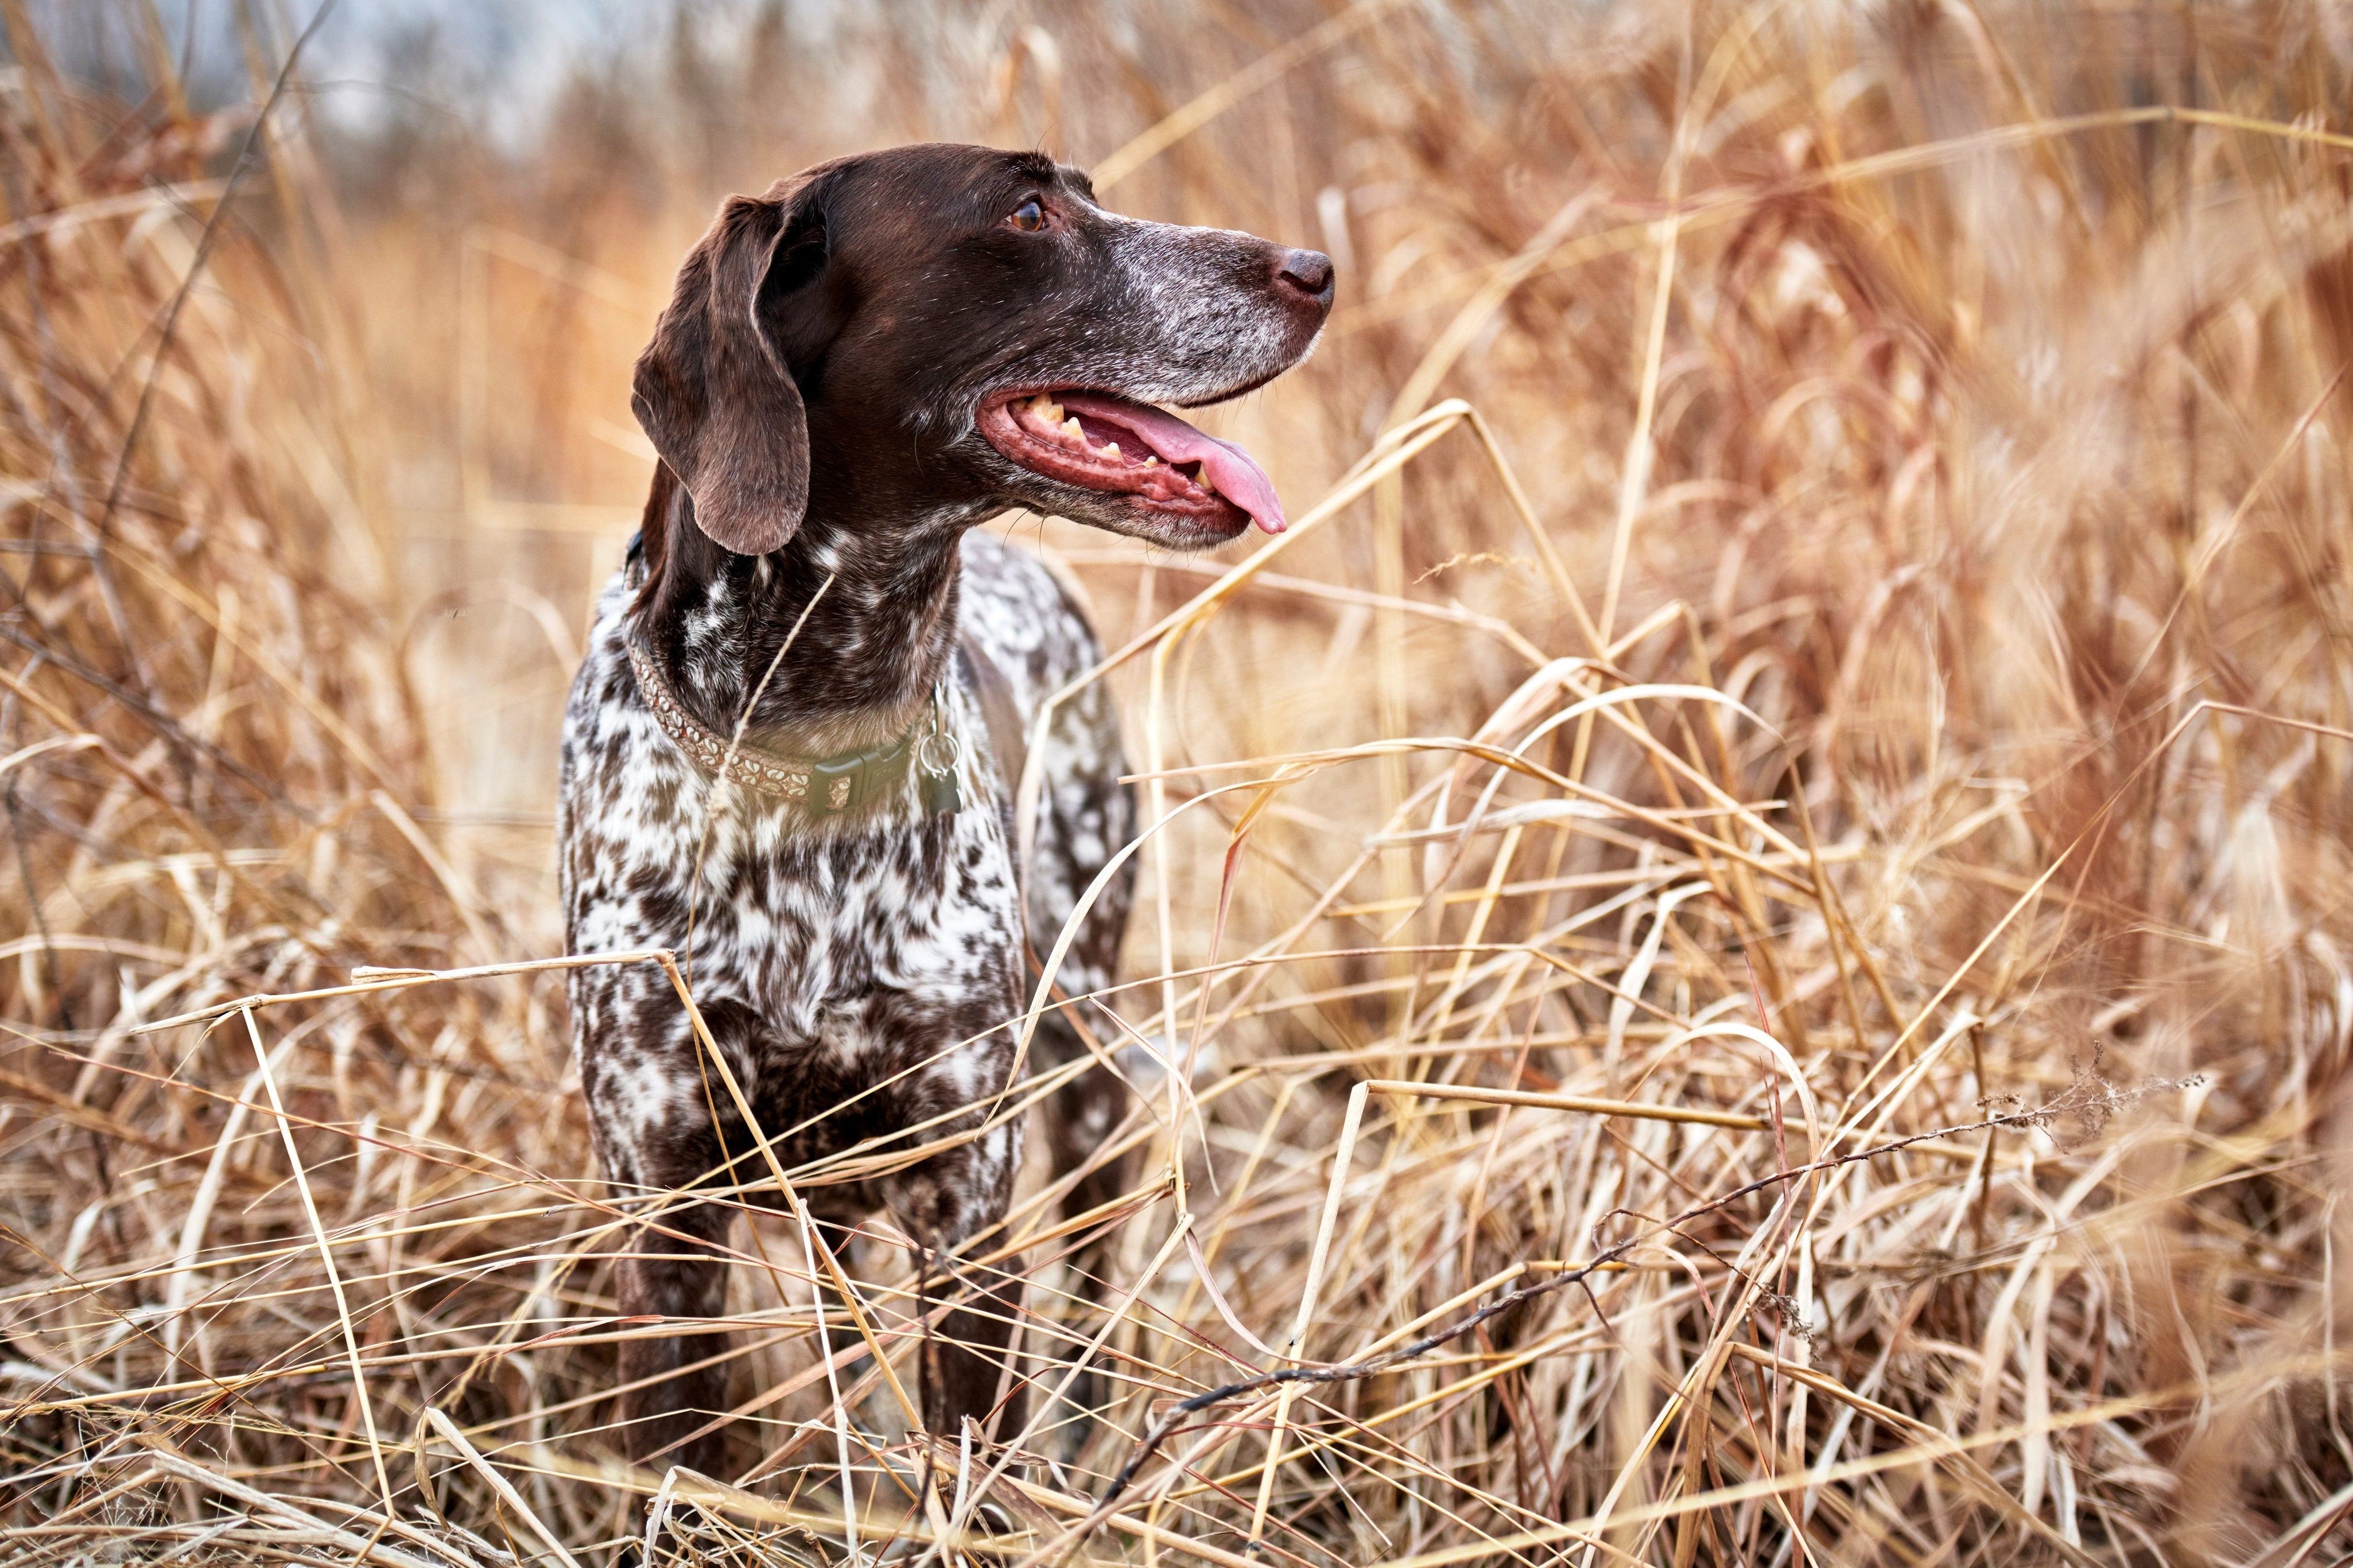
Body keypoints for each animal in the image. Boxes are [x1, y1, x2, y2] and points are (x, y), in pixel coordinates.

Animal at [548, 141, 1327, 1476]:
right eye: (1026, 211)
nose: (1318, 269)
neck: (810, 745)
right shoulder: (667, 1216)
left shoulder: (965, 1211)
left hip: (1080, 1057)